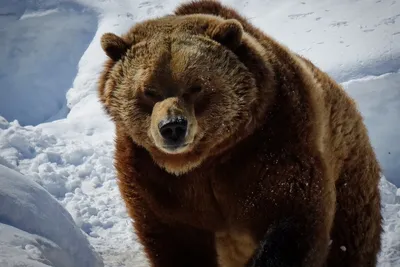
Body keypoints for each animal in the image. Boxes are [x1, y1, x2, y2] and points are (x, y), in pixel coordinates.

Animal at [97, 0, 382, 267]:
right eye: (149, 90)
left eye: (196, 86)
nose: (173, 127)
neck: (203, 160)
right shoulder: (153, 177)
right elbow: (174, 239)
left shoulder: (269, 142)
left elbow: (293, 214)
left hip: (348, 173)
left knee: (350, 239)